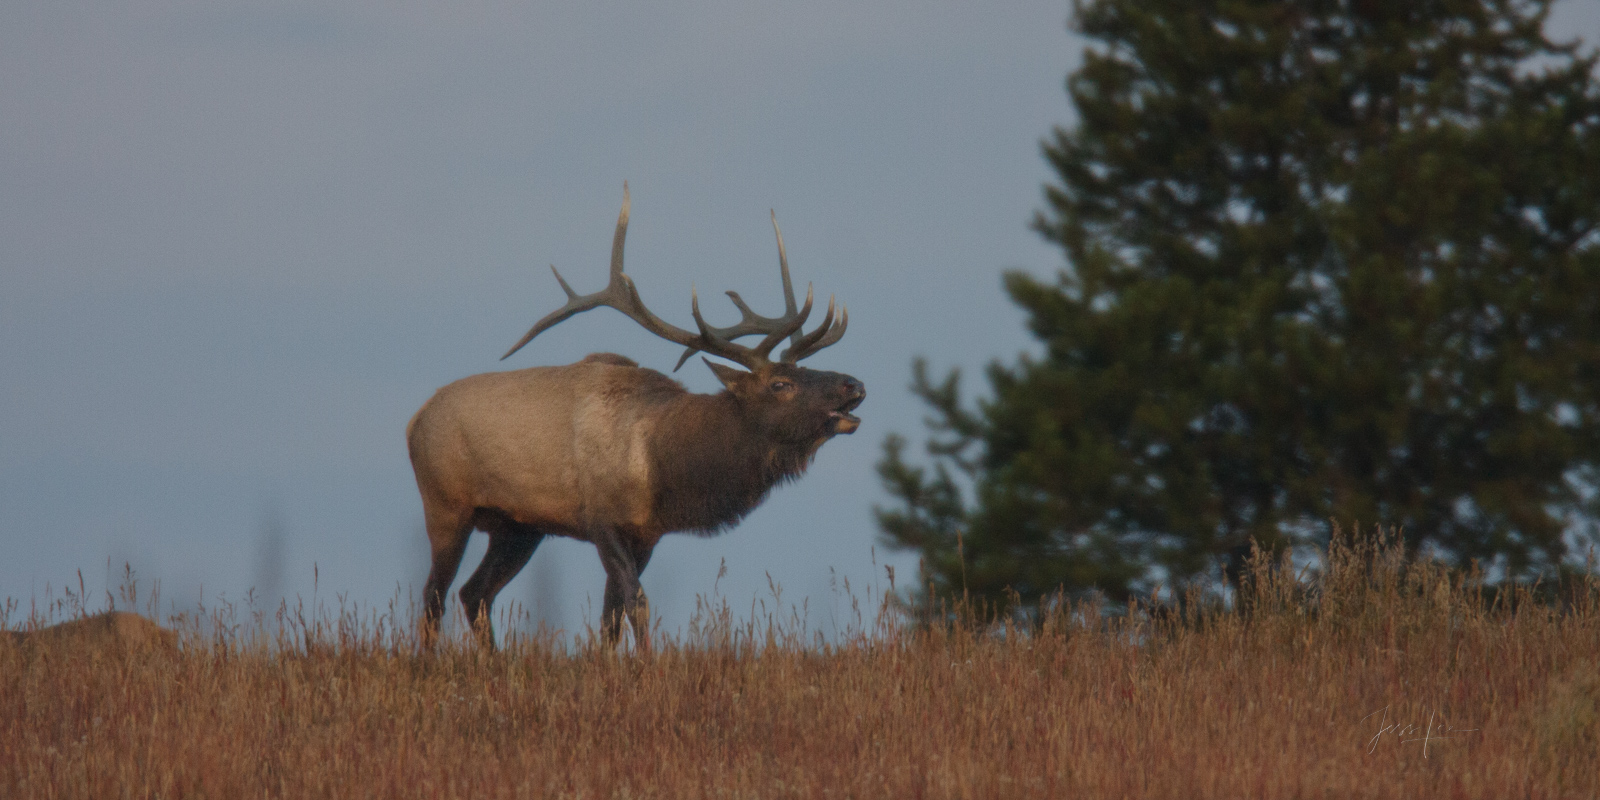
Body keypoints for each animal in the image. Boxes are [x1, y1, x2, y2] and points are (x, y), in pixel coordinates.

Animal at [409, 187, 864, 649]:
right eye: (779, 384)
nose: (854, 384)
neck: (658, 464)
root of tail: (414, 419)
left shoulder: (647, 534)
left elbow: (611, 616)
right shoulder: (601, 521)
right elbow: (637, 603)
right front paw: (648, 659)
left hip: (517, 527)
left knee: (474, 593)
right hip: (446, 505)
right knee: (433, 596)